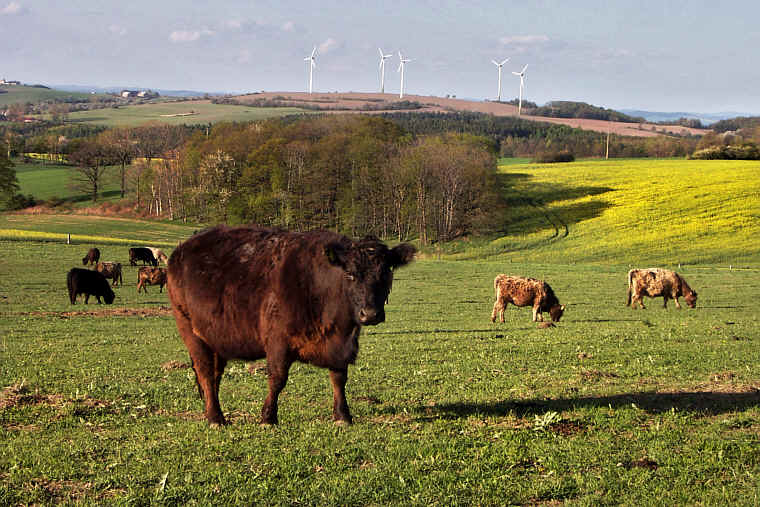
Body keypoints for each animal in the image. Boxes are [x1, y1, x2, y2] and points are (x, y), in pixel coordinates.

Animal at [167, 224, 416, 426]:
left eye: (386, 272)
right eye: (350, 274)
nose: (370, 314)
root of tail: (182, 248)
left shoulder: (341, 345)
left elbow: (339, 378)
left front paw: (342, 415)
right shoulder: (277, 341)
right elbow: (277, 379)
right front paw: (268, 417)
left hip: (216, 337)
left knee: (215, 374)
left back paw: (213, 412)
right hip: (189, 329)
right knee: (205, 372)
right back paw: (215, 418)